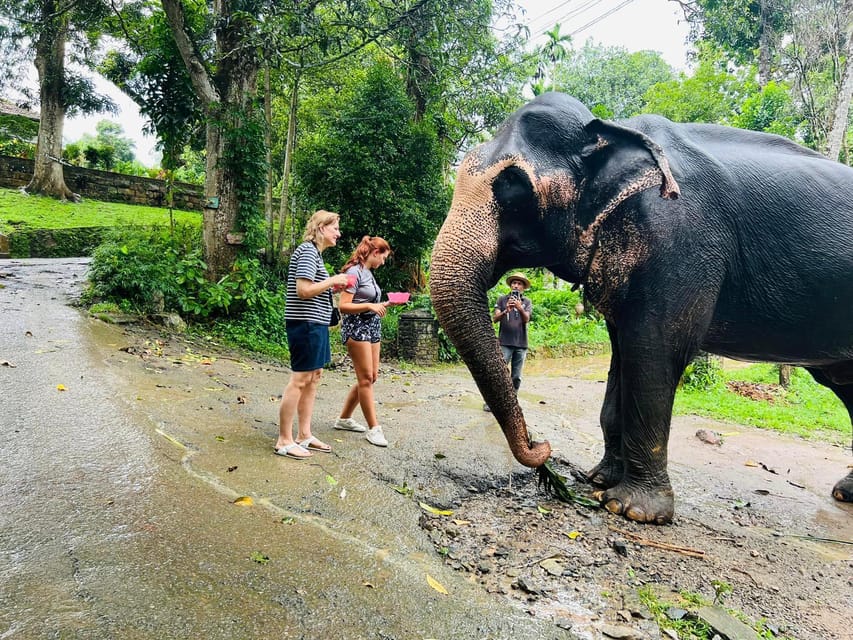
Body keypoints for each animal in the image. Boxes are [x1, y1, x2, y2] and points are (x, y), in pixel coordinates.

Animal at [430, 91, 852, 524]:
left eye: (513, 185)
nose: (542, 447)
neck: (613, 131)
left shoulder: (681, 240)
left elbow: (654, 350)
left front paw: (631, 509)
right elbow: (622, 353)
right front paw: (598, 480)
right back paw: (845, 493)